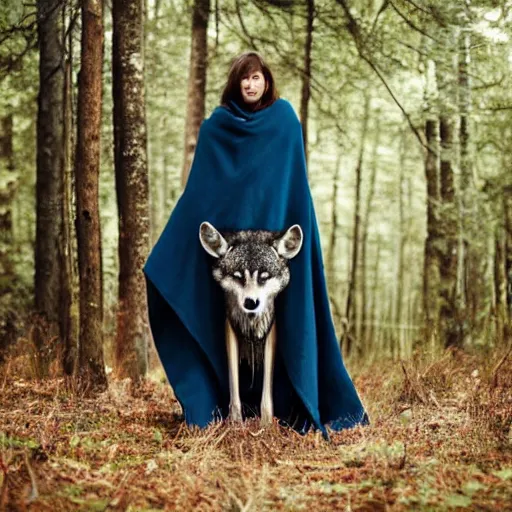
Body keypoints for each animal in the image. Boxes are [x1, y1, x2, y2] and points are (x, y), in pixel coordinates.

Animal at [199, 221, 304, 424]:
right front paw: (235, 423)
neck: (251, 322)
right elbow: (233, 383)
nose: (251, 302)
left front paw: (267, 424)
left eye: (264, 277)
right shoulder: (230, 328)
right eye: (238, 276)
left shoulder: (272, 331)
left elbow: (267, 391)